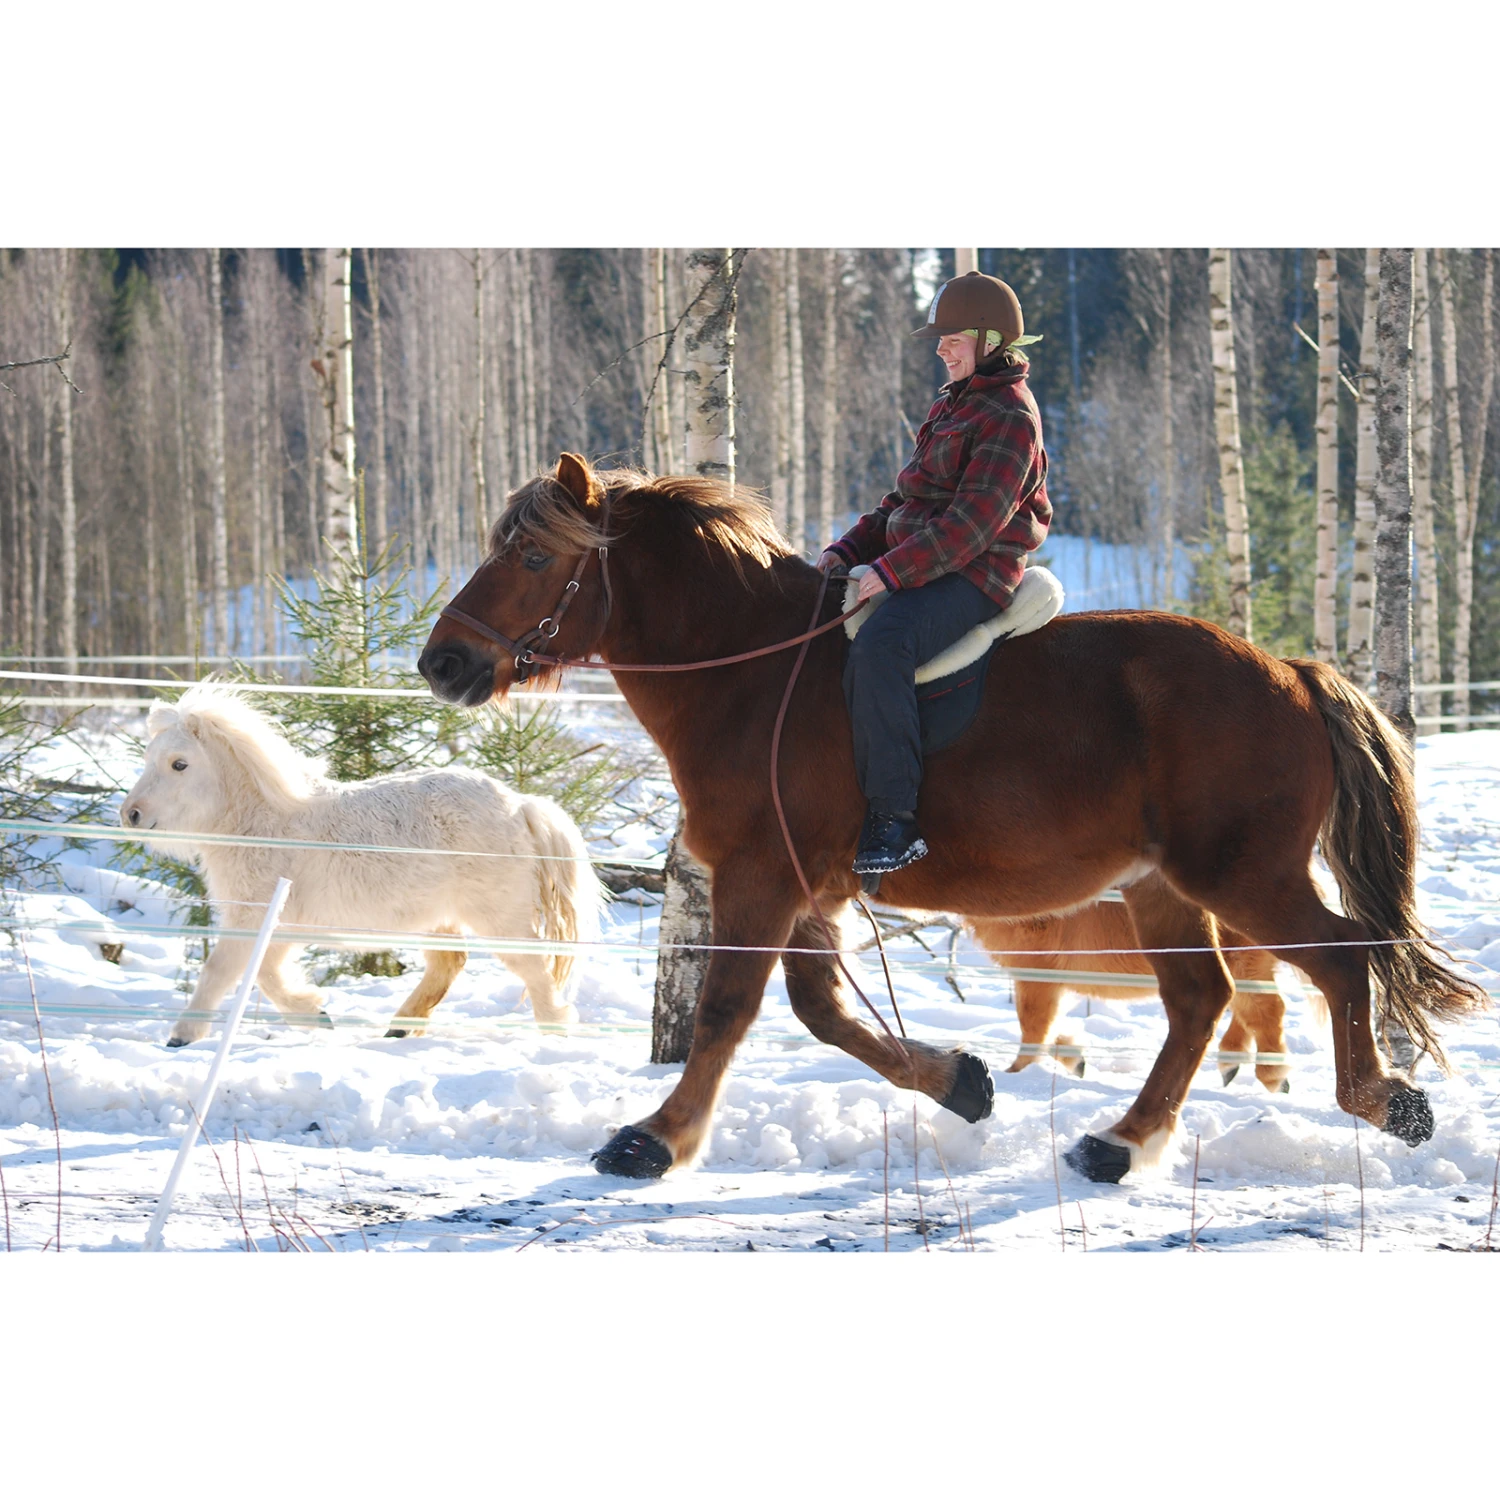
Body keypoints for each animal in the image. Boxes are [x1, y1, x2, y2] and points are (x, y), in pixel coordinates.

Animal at [120, 685, 600, 1046]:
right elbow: (267, 976)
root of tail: (520, 805)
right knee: (449, 964)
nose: (130, 815)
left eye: (179, 764)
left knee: (534, 968)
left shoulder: (254, 917)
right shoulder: (279, 925)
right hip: (438, 917)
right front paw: (314, 1014)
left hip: (498, 917)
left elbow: (223, 970)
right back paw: (400, 1028)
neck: (264, 821)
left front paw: (182, 1036)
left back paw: (554, 1031)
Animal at [968, 902, 1296, 1093]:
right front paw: (1075, 1059)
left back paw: (1272, 1076)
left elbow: (1034, 1026)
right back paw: (1232, 1064)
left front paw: (1015, 1074)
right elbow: (1048, 1028)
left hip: (1242, 962)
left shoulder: (1036, 973)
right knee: (1251, 1010)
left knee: (1267, 1009)